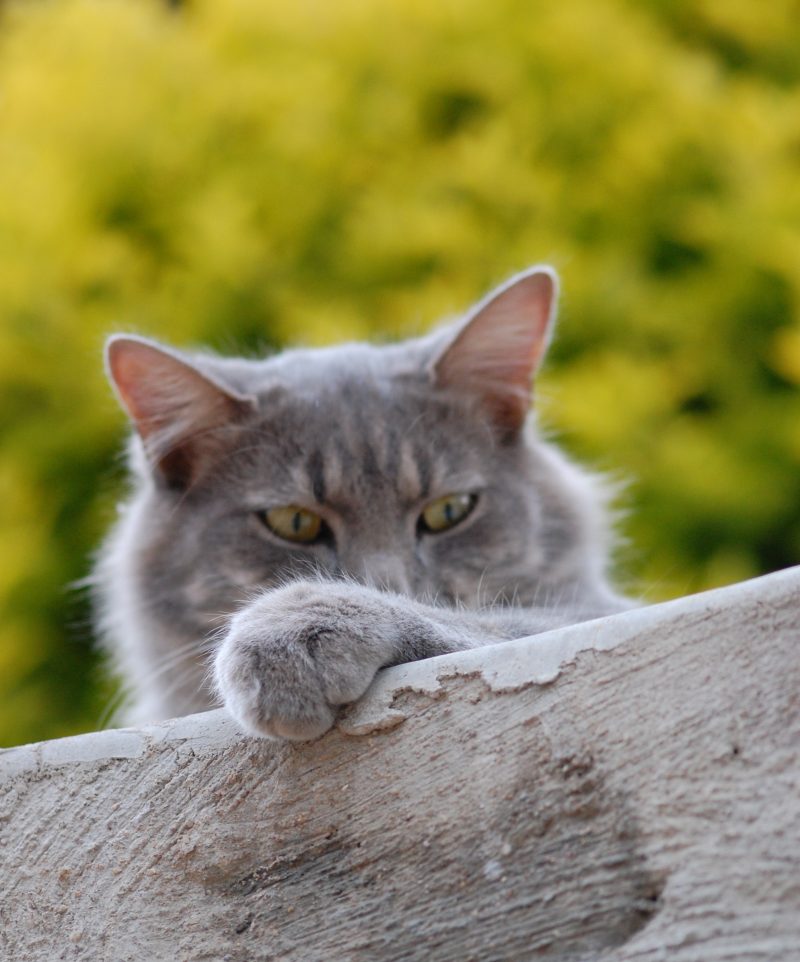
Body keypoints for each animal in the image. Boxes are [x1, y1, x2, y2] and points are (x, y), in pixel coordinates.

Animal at [94, 266, 632, 740]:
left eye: (449, 510)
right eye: (294, 522)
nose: (385, 585)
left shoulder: (593, 611)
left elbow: (497, 621)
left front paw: (301, 625)